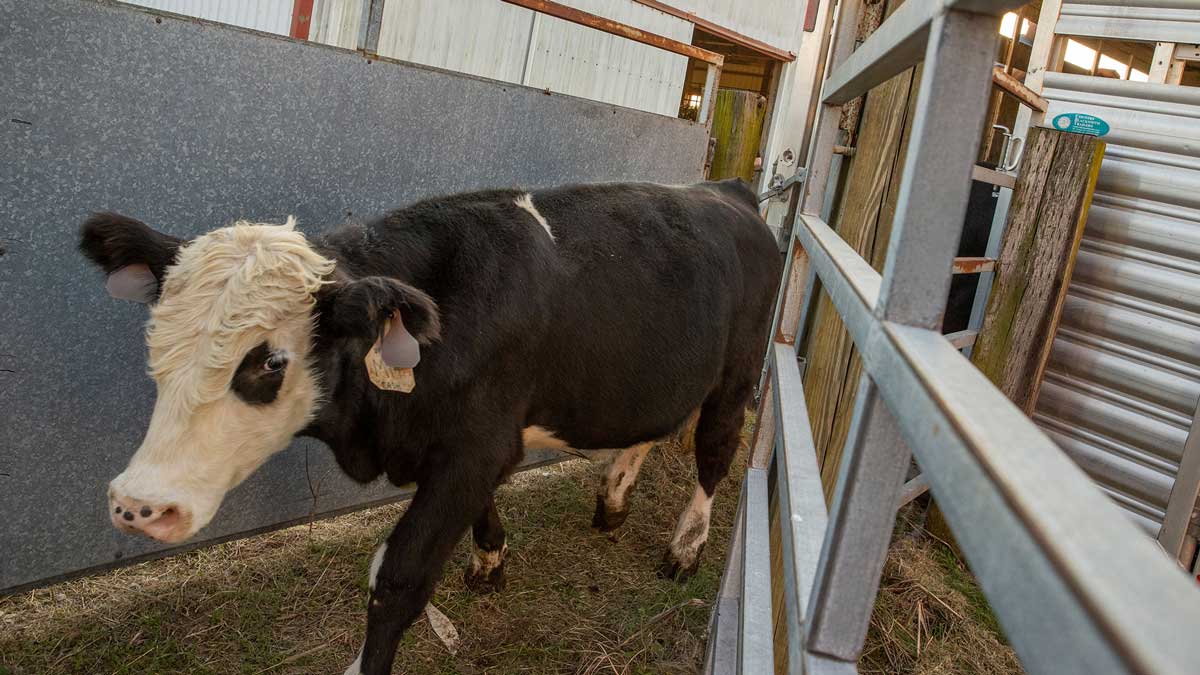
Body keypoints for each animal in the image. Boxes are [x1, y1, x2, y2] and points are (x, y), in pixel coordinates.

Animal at [79, 178, 782, 672]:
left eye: (270, 361)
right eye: (156, 340)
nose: (138, 505)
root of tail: (727, 190)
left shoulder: (475, 446)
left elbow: (398, 578)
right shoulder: (471, 450)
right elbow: (481, 511)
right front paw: (490, 560)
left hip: (738, 371)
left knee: (715, 451)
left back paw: (686, 547)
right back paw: (613, 499)